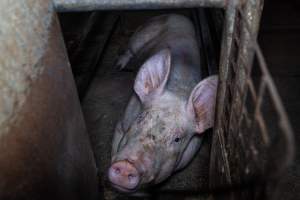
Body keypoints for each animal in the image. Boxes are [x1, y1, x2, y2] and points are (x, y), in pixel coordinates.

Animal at [108, 14, 218, 192]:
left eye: (177, 139)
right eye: (141, 119)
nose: (127, 166)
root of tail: (179, 15)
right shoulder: (122, 122)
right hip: (142, 34)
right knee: (130, 49)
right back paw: (119, 65)